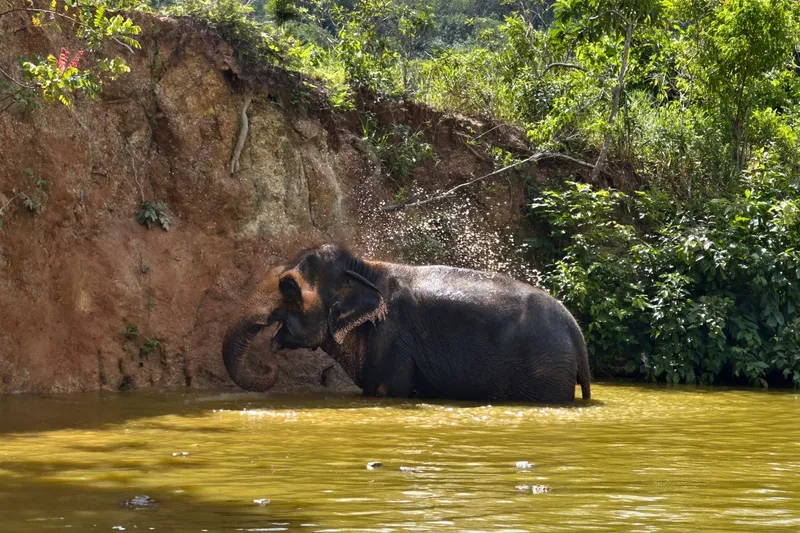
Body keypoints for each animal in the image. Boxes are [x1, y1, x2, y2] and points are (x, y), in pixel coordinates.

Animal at [222, 244, 591, 403]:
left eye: (288, 288)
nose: (268, 363)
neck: (365, 268)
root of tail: (576, 329)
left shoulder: (391, 337)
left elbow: (385, 389)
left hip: (547, 373)